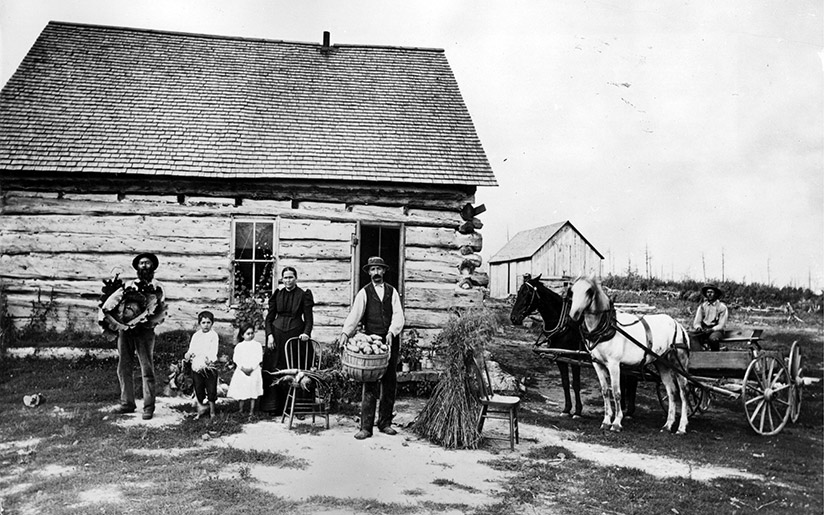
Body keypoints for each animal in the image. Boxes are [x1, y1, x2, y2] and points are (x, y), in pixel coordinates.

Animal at [508, 274, 636, 420]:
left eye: (528, 293)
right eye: (519, 292)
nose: (514, 318)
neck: (565, 323)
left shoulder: (575, 357)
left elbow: (575, 384)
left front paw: (578, 411)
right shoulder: (560, 357)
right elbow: (565, 383)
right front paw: (566, 409)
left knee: (632, 380)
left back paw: (629, 411)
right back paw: (625, 408)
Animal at [568, 276, 692, 434]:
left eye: (589, 291)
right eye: (572, 290)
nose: (573, 315)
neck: (606, 327)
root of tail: (678, 324)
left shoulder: (614, 365)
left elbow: (616, 392)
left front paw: (616, 422)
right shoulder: (597, 364)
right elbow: (605, 391)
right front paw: (606, 421)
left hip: (678, 364)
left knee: (684, 392)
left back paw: (682, 426)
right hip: (662, 363)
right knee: (671, 391)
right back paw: (668, 424)